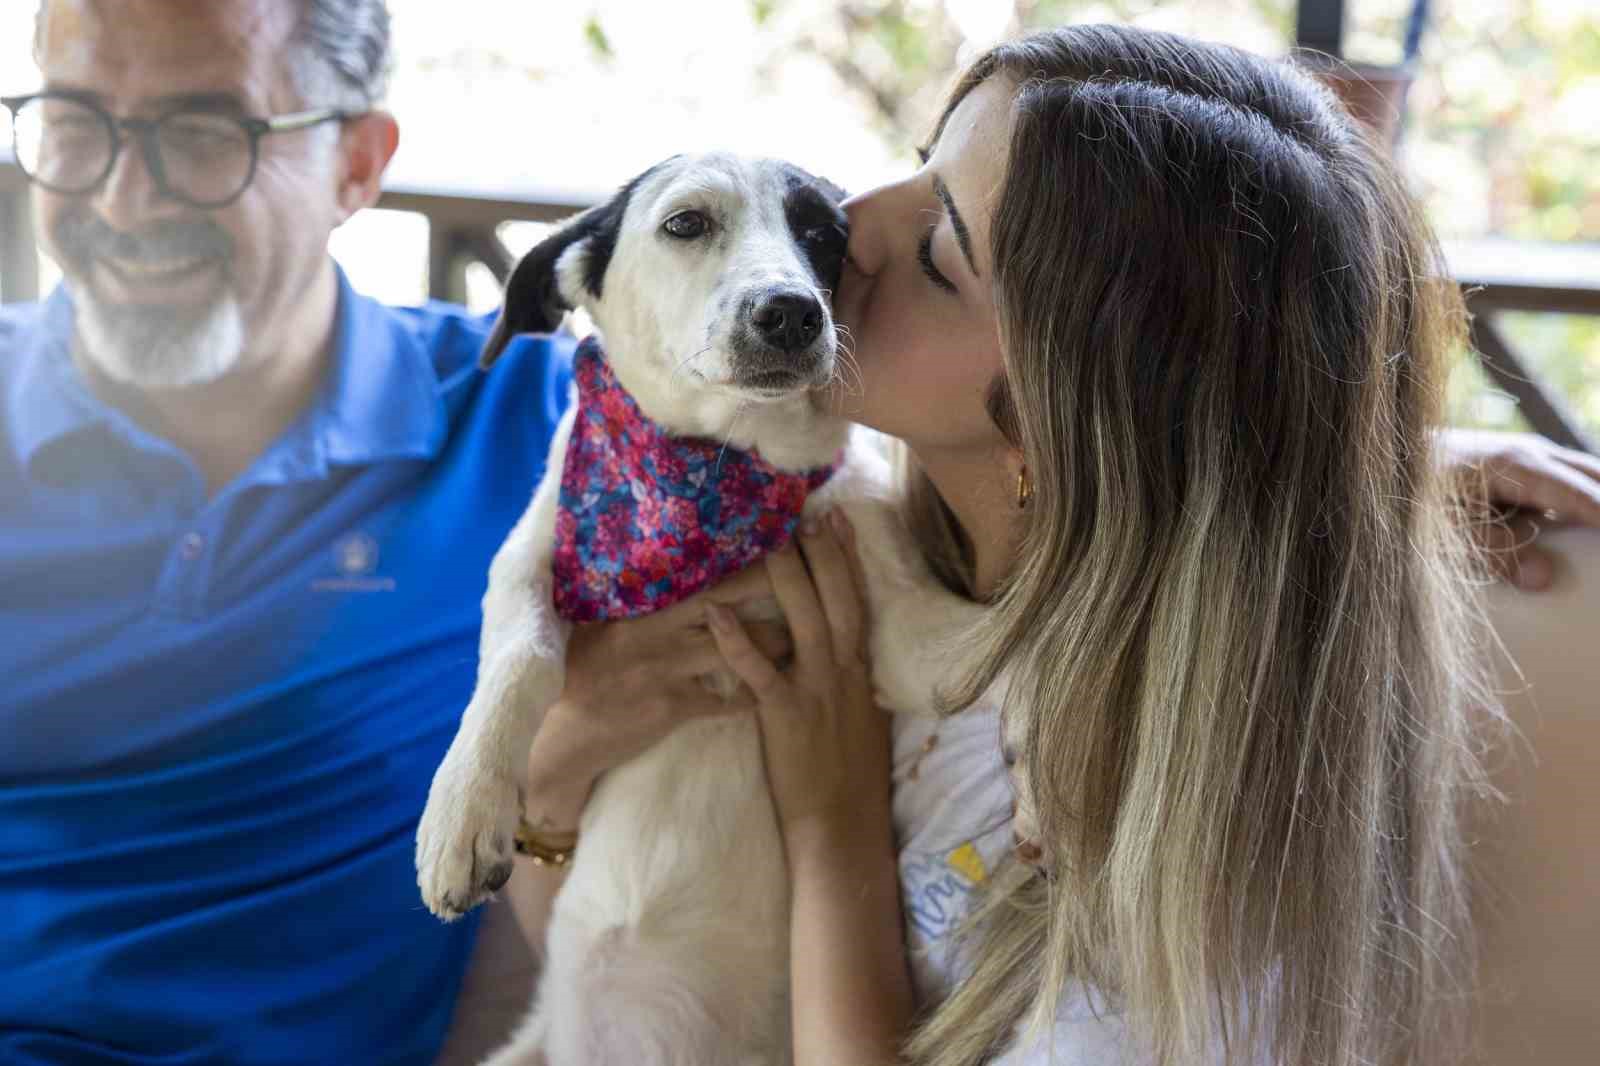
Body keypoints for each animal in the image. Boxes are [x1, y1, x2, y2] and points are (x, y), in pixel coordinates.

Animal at [416, 156, 972, 1062]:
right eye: (686, 224)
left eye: (825, 234)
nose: (792, 312)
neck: (716, 475)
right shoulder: (527, 561)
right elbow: (523, 661)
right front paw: (465, 812)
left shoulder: (911, 641)